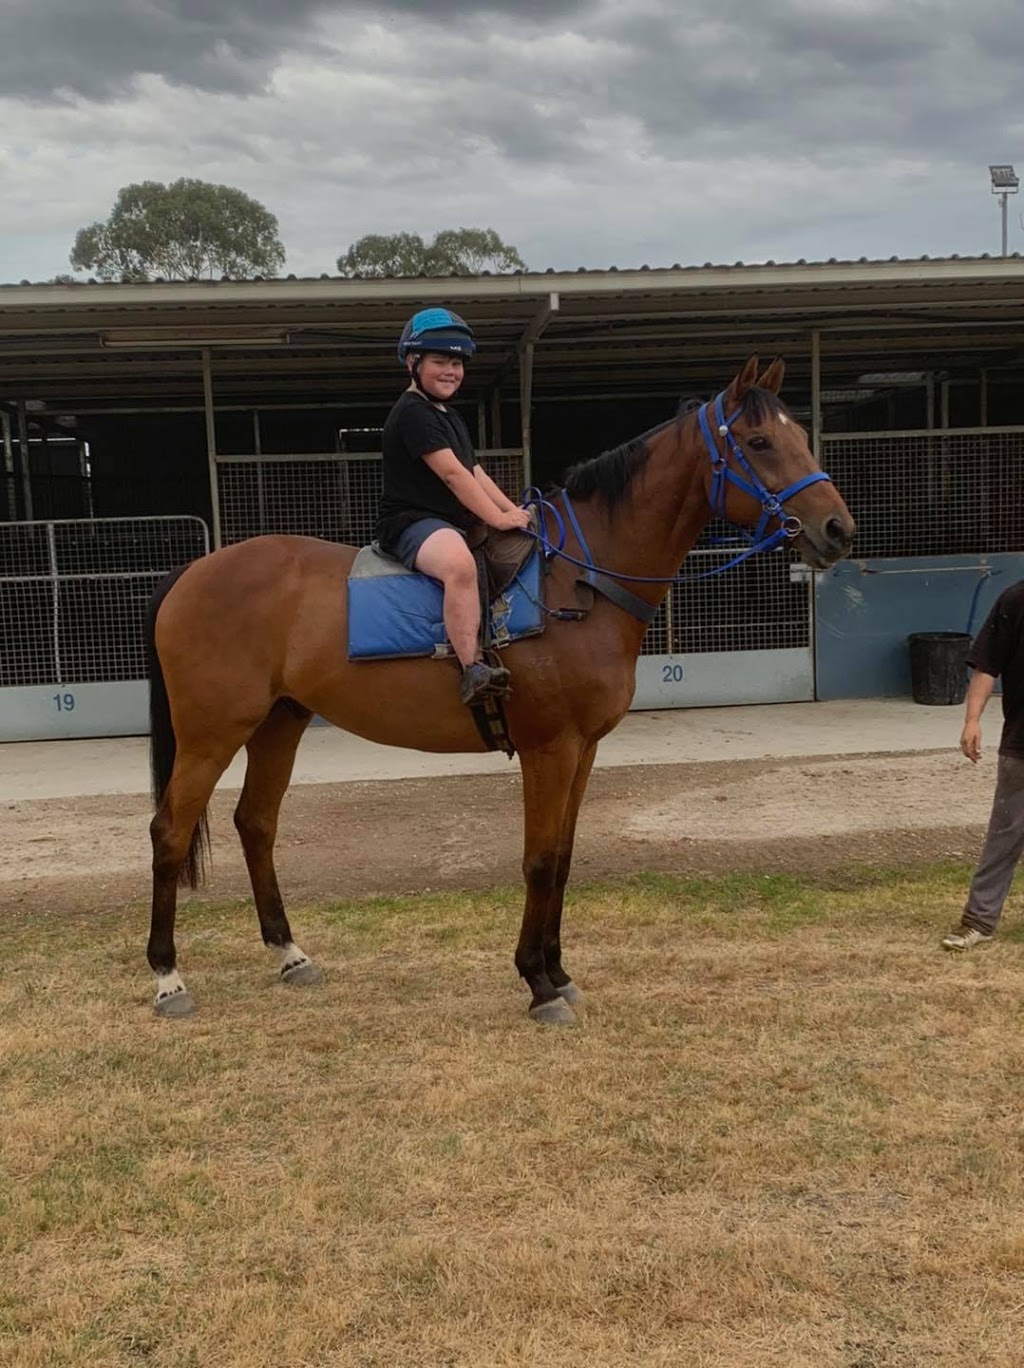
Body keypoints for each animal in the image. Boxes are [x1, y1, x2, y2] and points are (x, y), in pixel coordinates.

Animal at [145, 358, 853, 1023]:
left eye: (802, 435)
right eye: (759, 442)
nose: (839, 530)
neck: (579, 582)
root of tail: (194, 570)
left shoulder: (583, 751)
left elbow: (562, 857)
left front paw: (559, 973)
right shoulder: (550, 749)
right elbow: (538, 861)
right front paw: (538, 985)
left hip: (278, 723)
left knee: (255, 823)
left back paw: (290, 954)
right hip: (211, 735)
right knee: (169, 833)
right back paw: (167, 977)